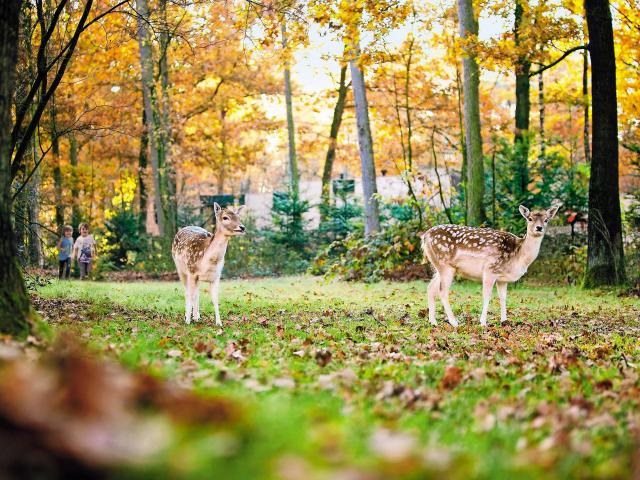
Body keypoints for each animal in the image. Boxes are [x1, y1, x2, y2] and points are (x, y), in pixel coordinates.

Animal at [422, 204, 556, 328]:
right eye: (529, 219)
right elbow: (487, 295)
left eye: (546, 220)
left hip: (440, 267)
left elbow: (503, 297)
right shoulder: (490, 269)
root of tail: (425, 236)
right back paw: (454, 322)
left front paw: (504, 321)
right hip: (445, 265)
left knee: (430, 288)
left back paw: (433, 321)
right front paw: (483, 322)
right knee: (442, 291)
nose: (539, 228)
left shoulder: (502, 279)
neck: (518, 256)